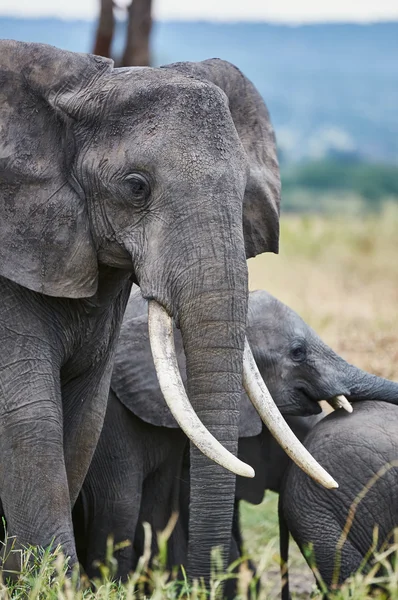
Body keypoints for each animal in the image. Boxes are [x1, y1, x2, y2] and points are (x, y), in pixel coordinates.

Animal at [0, 38, 320, 580]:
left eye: (242, 194)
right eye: (136, 187)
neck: (75, 86)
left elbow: (82, 414)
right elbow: (28, 415)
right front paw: (50, 582)